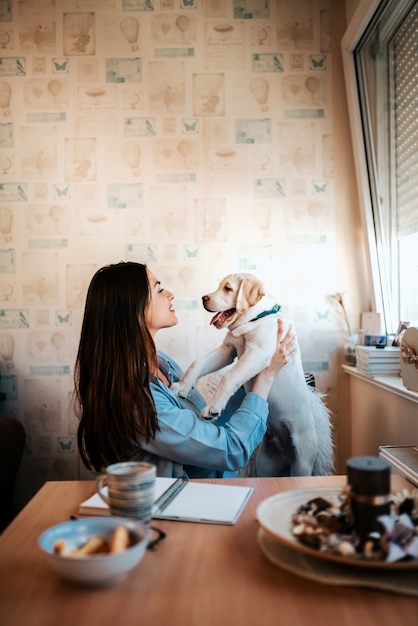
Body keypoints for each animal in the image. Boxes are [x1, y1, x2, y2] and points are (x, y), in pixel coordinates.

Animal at [172, 272, 334, 472]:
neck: (253, 320)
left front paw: (212, 408)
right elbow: (198, 363)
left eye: (228, 288)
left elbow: (229, 376)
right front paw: (183, 387)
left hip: (303, 462)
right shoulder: (228, 350)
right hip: (266, 463)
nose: (203, 298)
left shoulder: (258, 353)